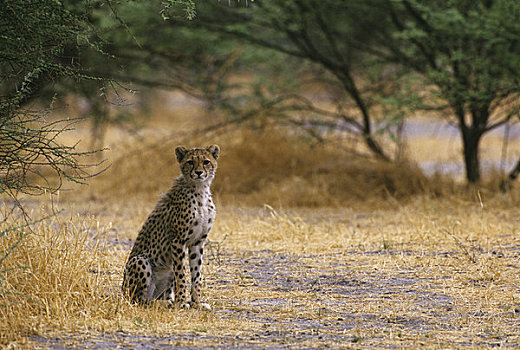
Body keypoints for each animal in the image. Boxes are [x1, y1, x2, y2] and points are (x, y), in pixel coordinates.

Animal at [122, 145, 219, 308]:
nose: (199, 172)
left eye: (206, 162)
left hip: (167, 269)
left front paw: (197, 303)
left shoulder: (198, 241)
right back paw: (167, 303)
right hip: (140, 261)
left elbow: (196, 275)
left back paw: (169, 301)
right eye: (190, 162)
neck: (200, 190)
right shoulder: (178, 241)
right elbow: (182, 275)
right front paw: (181, 303)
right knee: (139, 300)